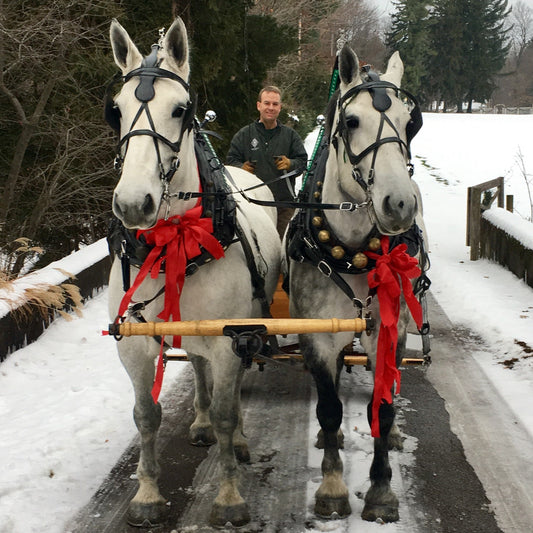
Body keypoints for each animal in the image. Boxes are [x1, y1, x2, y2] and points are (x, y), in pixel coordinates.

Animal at [108, 18, 280, 524]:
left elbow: (227, 411)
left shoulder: (228, 339)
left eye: (180, 109)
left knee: (232, 388)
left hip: (245, 329)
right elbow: (146, 416)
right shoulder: (134, 345)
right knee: (199, 369)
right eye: (116, 110)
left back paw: (236, 438)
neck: (175, 243)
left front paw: (228, 496)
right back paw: (200, 420)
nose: (133, 204)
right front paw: (146, 494)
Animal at [284, 43, 426, 520]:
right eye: (350, 121)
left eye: (410, 122)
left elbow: (382, 408)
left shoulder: (388, 331)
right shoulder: (316, 335)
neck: (352, 254)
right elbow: (329, 409)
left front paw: (381, 489)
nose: (400, 203)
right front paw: (331, 486)